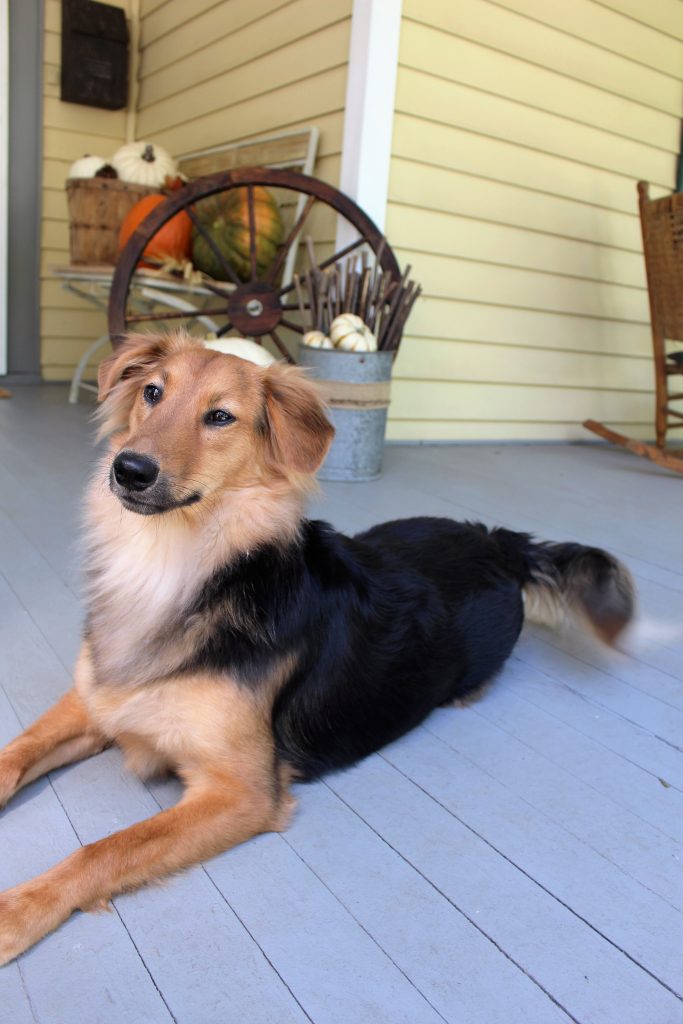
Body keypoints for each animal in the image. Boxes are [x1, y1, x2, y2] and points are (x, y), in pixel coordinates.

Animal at [0, 329, 634, 958]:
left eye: (221, 416)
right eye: (152, 392)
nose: (129, 469)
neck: (171, 563)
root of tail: (498, 541)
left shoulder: (241, 791)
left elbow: (105, 848)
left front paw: (17, 911)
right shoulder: (96, 700)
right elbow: (16, 753)